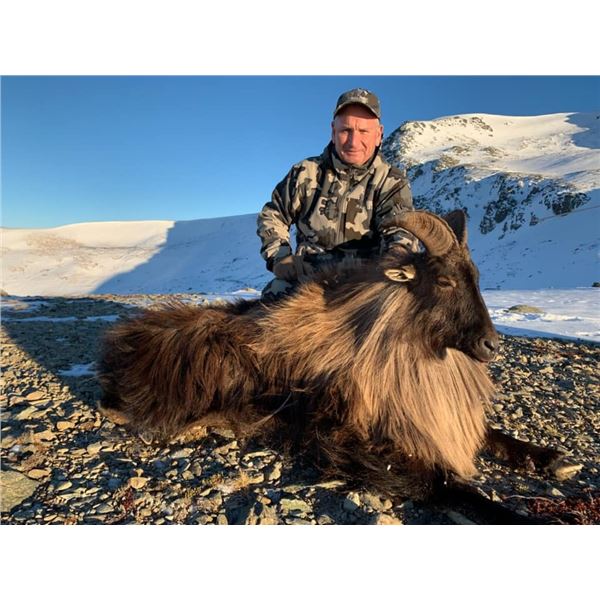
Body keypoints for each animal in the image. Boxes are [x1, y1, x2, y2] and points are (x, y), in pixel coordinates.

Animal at [97, 210, 579, 523]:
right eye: (444, 281)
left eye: (477, 278)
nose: (490, 345)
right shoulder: (346, 437)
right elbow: (439, 481)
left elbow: (494, 437)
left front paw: (556, 460)